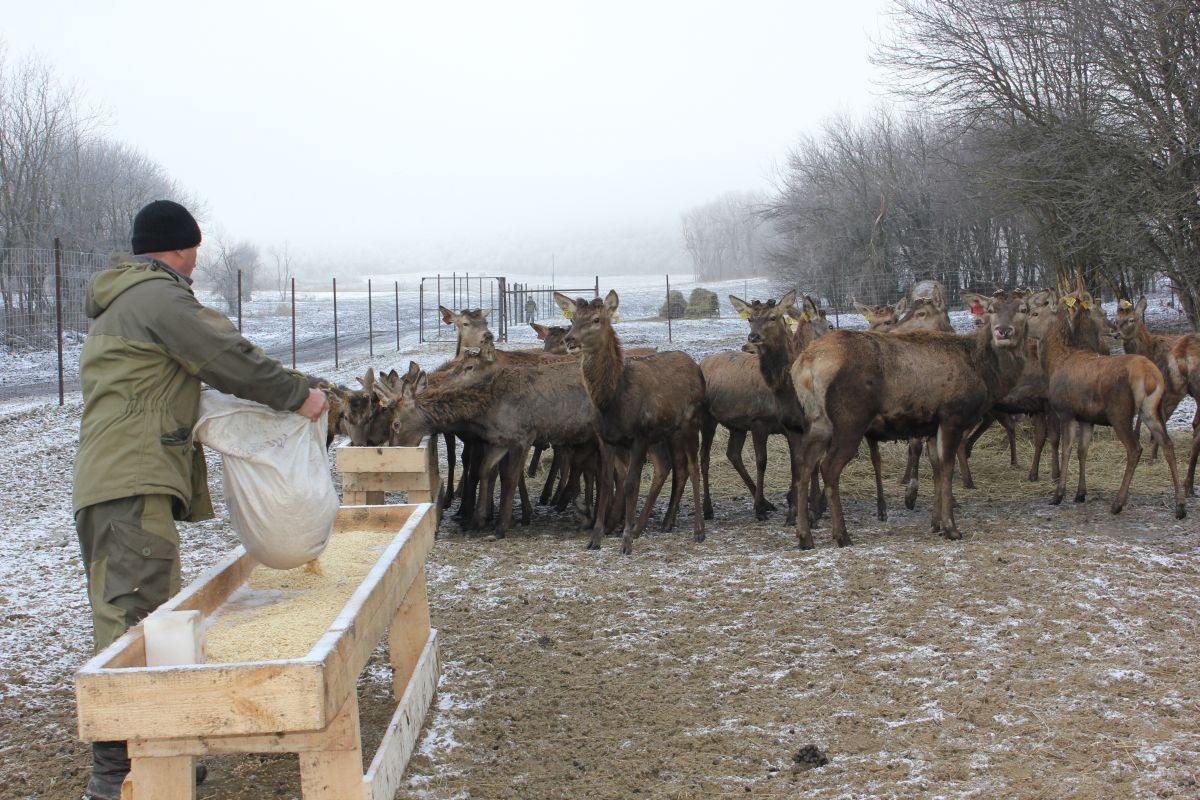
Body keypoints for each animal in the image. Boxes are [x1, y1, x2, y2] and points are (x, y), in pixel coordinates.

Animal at [556, 289, 705, 556]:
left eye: (596, 319)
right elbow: (607, 484)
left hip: (691, 423)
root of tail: (695, 365)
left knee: (693, 467)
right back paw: (648, 527)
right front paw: (595, 539)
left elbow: (630, 484)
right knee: (674, 466)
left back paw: (699, 530)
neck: (611, 400)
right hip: (668, 432)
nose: (569, 339)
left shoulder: (640, 436)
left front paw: (625, 542)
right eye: (572, 318)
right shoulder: (605, 439)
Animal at [787, 291, 1032, 546]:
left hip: (818, 420)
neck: (986, 374)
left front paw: (936, 523)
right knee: (829, 467)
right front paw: (951, 527)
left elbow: (936, 469)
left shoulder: (933, 426)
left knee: (803, 465)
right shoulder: (952, 416)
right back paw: (841, 534)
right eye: (991, 310)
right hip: (850, 419)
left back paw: (804, 536)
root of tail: (805, 366)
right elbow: (947, 468)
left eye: (1024, 309)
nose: (1003, 331)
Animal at [1041, 289, 1190, 520]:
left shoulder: (1066, 412)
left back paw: (1118, 503)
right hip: (1151, 409)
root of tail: (1151, 376)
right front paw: (1080, 493)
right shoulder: (1087, 418)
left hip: (1120, 413)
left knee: (1135, 448)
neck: (1056, 361)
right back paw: (1180, 506)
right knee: (1167, 443)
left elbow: (1066, 450)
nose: (1113, 329)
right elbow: (1082, 451)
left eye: (1047, 305)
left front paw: (1058, 494)